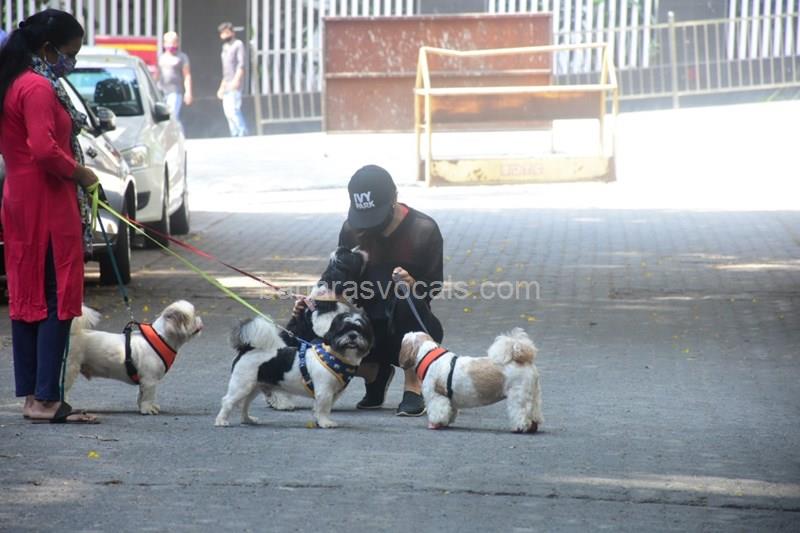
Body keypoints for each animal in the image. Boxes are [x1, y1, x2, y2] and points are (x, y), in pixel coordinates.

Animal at [66, 300, 203, 414]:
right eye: (192, 317)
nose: (199, 319)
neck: (161, 337)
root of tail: (71, 334)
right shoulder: (149, 380)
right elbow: (148, 395)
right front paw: (148, 409)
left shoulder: (144, 380)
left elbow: (141, 395)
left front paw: (143, 406)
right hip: (70, 369)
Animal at [215, 304, 373, 428]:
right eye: (343, 329)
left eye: (360, 330)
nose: (352, 335)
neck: (336, 357)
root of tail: (248, 349)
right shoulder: (324, 391)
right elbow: (323, 408)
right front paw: (325, 423)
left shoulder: (333, 393)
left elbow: (322, 408)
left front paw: (320, 421)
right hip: (242, 385)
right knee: (228, 401)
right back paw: (221, 421)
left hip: (253, 387)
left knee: (245, 404)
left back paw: (247, 420)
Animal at [398, 328, 542, 433]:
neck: (429, 357)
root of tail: (522, 360)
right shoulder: (449, 400)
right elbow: (449, 411)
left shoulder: (436, 396)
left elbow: (437, 411)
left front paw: (435, 424)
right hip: (533, 396)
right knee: (534, 414)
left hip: (518, 397)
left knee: (521, 413)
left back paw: (519, 427)